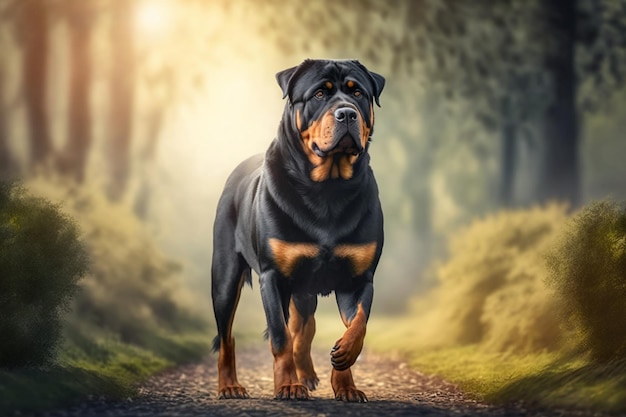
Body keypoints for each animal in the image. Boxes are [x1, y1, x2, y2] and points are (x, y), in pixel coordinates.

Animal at [212, 58, 382, 400]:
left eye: (358, 93)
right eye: (319, 94)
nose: (347, 113)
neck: (328, 188)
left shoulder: (359, 277)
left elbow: (358, 322)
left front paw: (345, 373)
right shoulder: (273, 277)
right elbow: (280, 336)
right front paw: (288, 385)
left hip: (304, 290)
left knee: (305, 327)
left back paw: (309, 374)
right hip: (224, 277)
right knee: (227, 336)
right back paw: (230, 386)